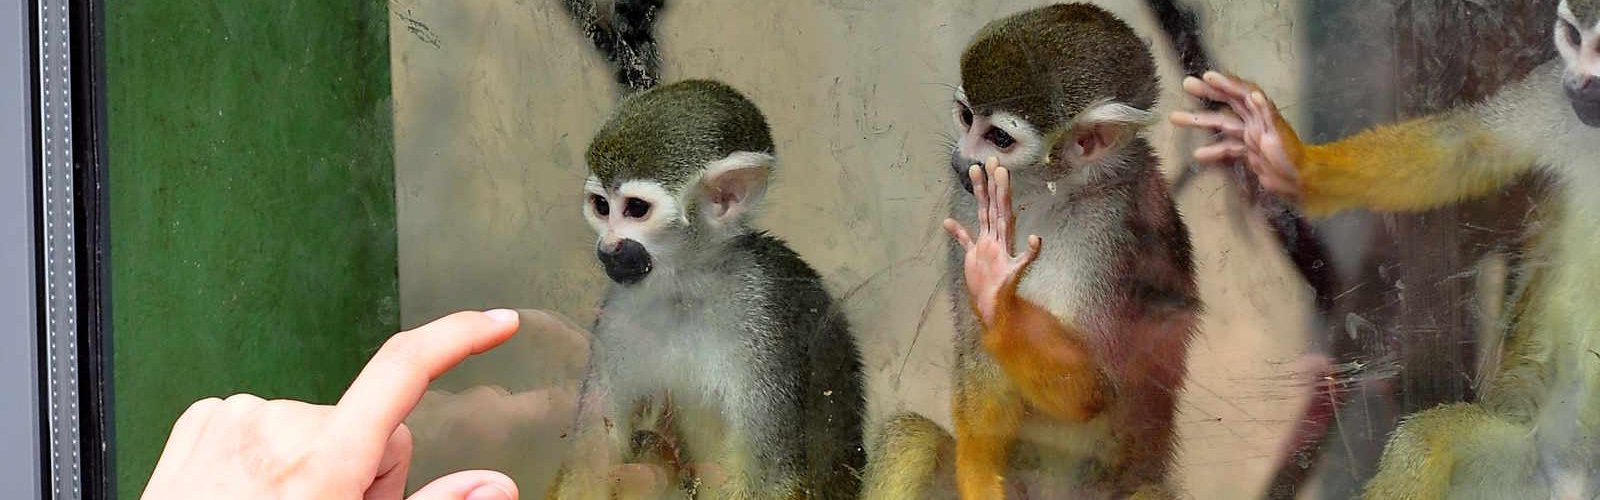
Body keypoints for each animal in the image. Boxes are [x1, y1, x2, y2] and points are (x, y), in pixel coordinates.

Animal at [545, 79, 867, 500]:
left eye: (635, 209)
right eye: (601, 206)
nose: (608, 248)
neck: (686, 288)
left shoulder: (763, 316)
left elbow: (769, 477)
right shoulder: (618, 308)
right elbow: (594, 454)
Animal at [861, 5, 1200, 498]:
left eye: (1000, 139)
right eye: (966, 117)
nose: (961, 160)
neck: (1047, 193)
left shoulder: (1118, 229)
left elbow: (1094, 390)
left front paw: (998, 298)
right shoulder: (966, 201)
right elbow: (977, 351)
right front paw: (980, 476)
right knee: (912, 437)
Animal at [1171, 0, 1600, 497]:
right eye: (1572, 37)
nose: (1579, 83)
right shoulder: (1554, 92)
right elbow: (1464, 149)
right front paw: (1291, 161)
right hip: (1524, 466)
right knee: (1425, 441)